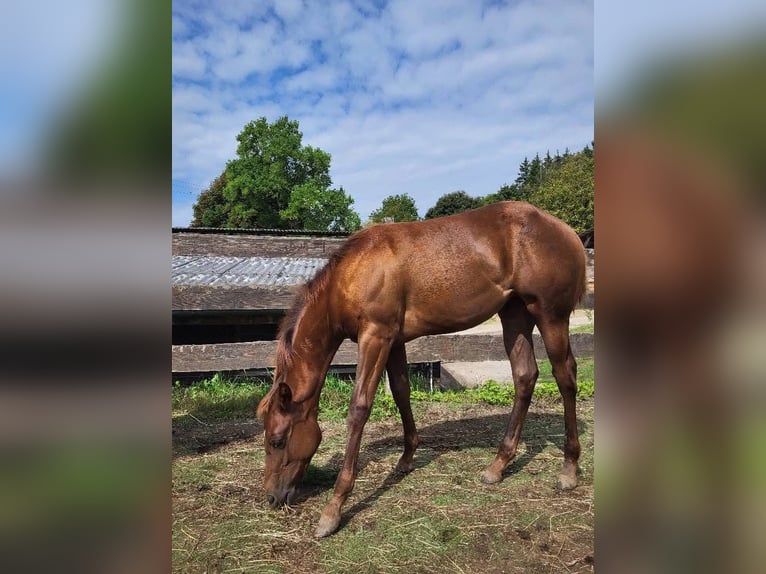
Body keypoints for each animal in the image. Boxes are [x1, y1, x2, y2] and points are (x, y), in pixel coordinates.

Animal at [256, 201, 587, 538]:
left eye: (277, 441)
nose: (272, 497)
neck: (351, 274)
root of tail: (566, 231)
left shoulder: (375, 337)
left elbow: (359, 409)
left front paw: (333, 508)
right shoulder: (393, 341)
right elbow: (401, 392)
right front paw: (406, 459)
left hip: (550, 316)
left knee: (565, 377)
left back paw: (569, 468)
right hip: (515, 315)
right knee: (524, 377)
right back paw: (498, 465)